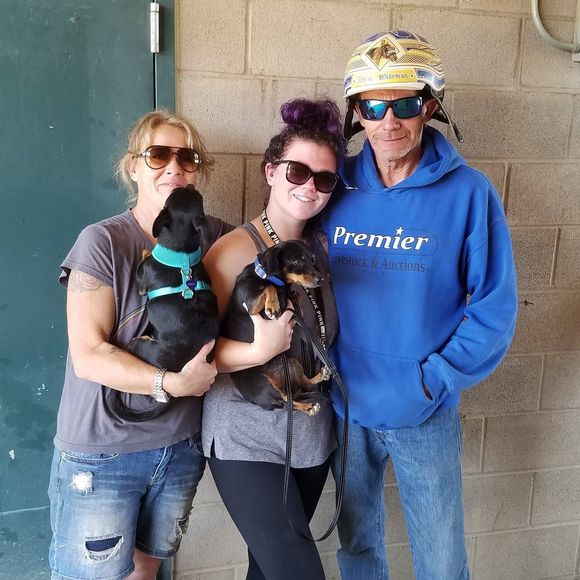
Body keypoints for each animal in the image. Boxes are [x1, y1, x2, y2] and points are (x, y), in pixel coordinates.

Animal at [108, 186, 219, 421]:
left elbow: (143, 262)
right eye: (198, 197)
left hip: (138, 344)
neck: (182, 255)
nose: (188, 185)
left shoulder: (143, 278)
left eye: (172, 195)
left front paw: (145, 250)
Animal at [222, 240, 330, 415]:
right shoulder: (251, 306)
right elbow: (269, 287)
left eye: (313, 259)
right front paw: (272, 306)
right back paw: (308, 407)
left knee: (302, 386)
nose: (321, 279)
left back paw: (319, 379)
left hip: (292, 364)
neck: (264, 275)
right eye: (298, 261)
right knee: (287, 402)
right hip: (265, 385)